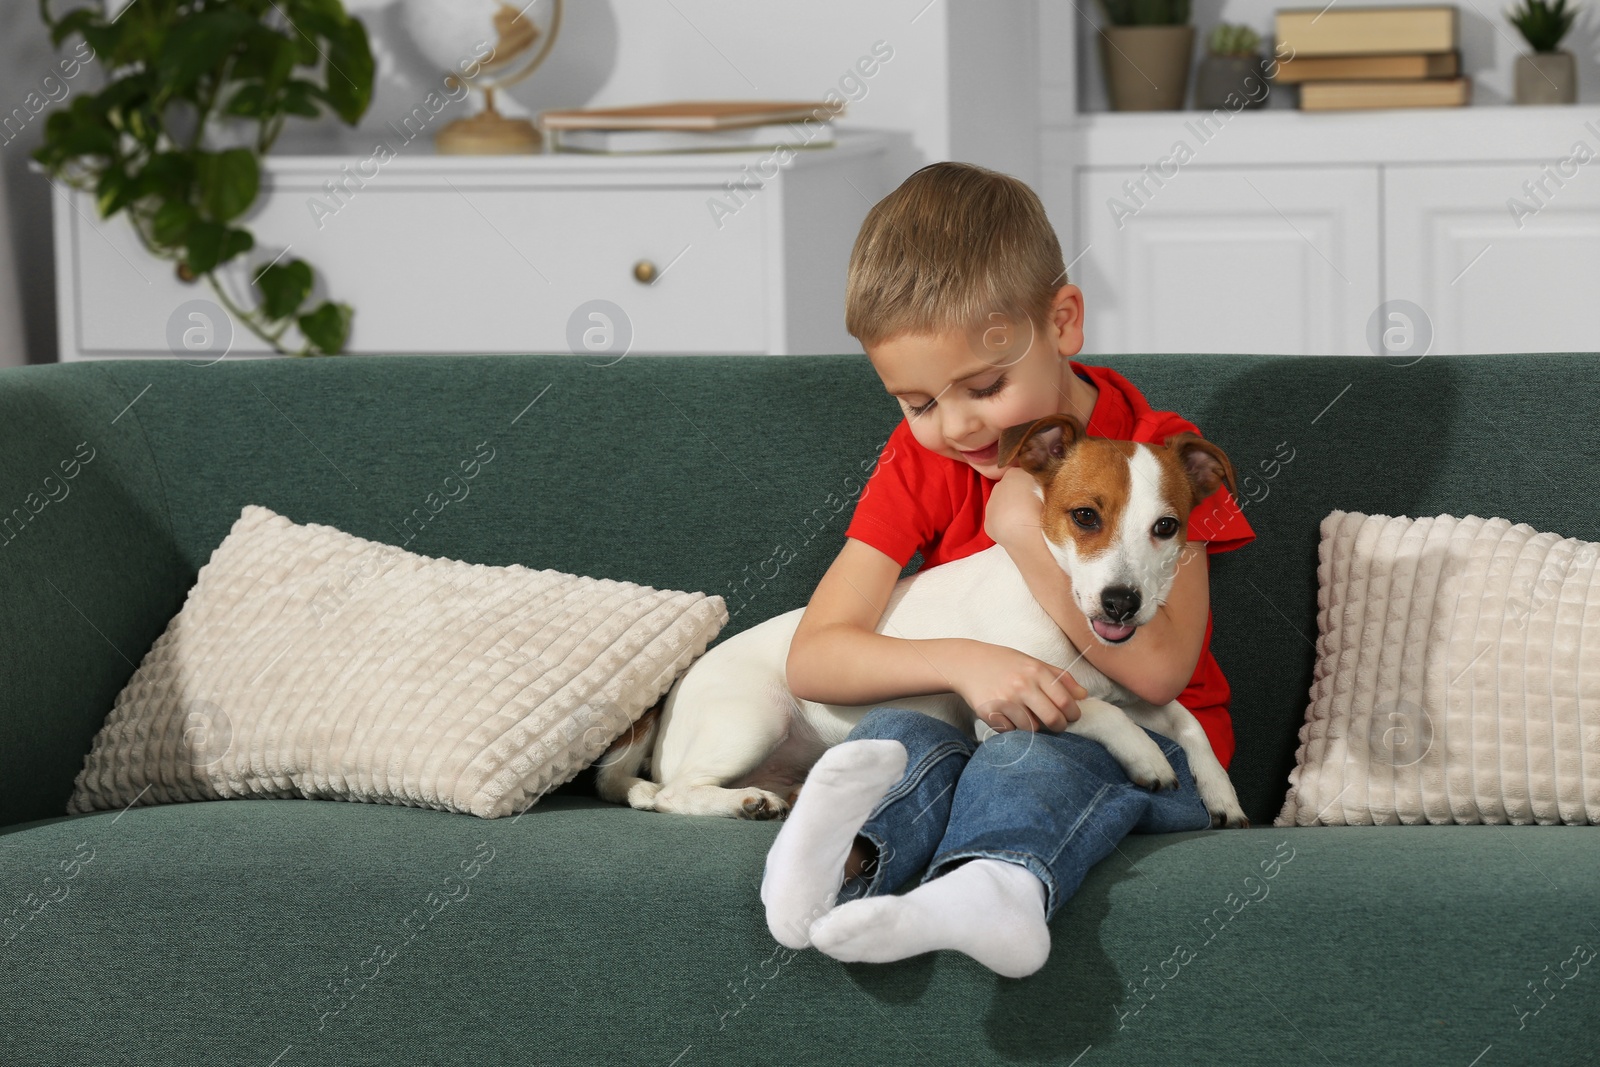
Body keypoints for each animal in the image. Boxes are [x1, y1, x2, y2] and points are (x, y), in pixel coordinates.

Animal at [598, 412, 1248, 831]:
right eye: (1085, 516)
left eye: (1166, 527)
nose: (1121, 602)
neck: (1059, 610)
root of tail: (674, 691)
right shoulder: (1011, 707)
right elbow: (1104, 714)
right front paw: (1147, 757)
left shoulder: (1138, 690)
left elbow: (1187, 721)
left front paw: (1221, 793)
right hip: (752, 718)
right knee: (670, 794)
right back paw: (741, 803)